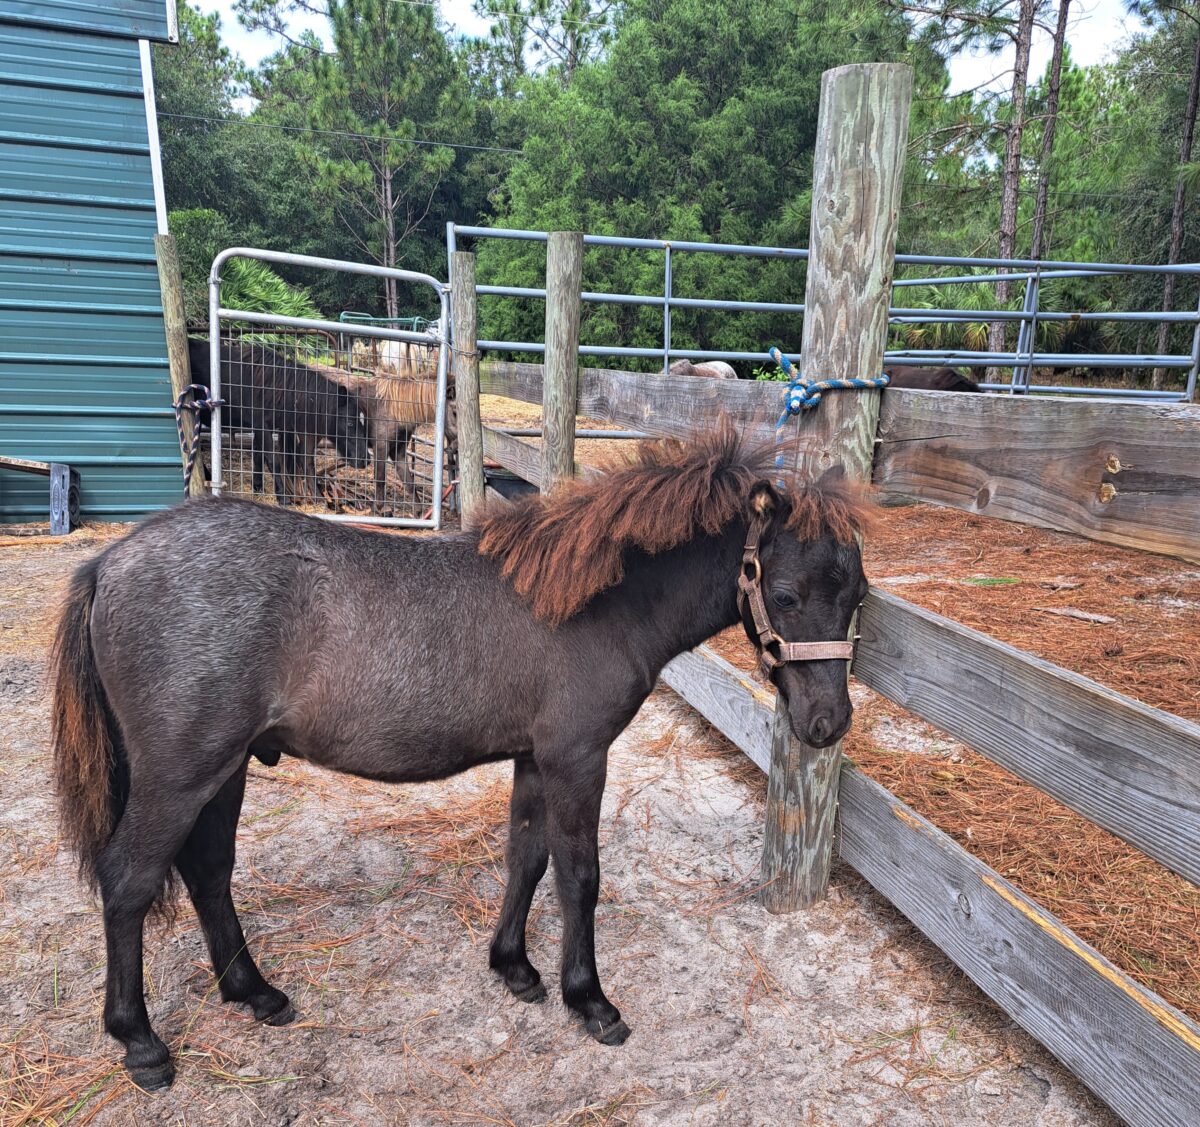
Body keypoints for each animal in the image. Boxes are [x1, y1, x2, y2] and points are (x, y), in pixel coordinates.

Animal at [50, 424, 871, 1091]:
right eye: (786, 593)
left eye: (857, 594)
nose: (827, 723)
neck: (590, 600)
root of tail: (109, 564)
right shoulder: (578, 759)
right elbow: (579, 877)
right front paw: (590, 999)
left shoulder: (536, 759)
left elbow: (526, 857)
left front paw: (514, 967)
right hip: (181, 773)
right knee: (129, 880)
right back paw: (141, 1043)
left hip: (225, 768)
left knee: (208, 870)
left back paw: (254, 991)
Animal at [187, 339, 371, 504]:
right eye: (350, 423)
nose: (366, 459)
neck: (274, 388)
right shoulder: (263, 427)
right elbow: (272, 461)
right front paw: (282, 497)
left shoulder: (262, 429)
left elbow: (259, 456)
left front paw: (258, 487)